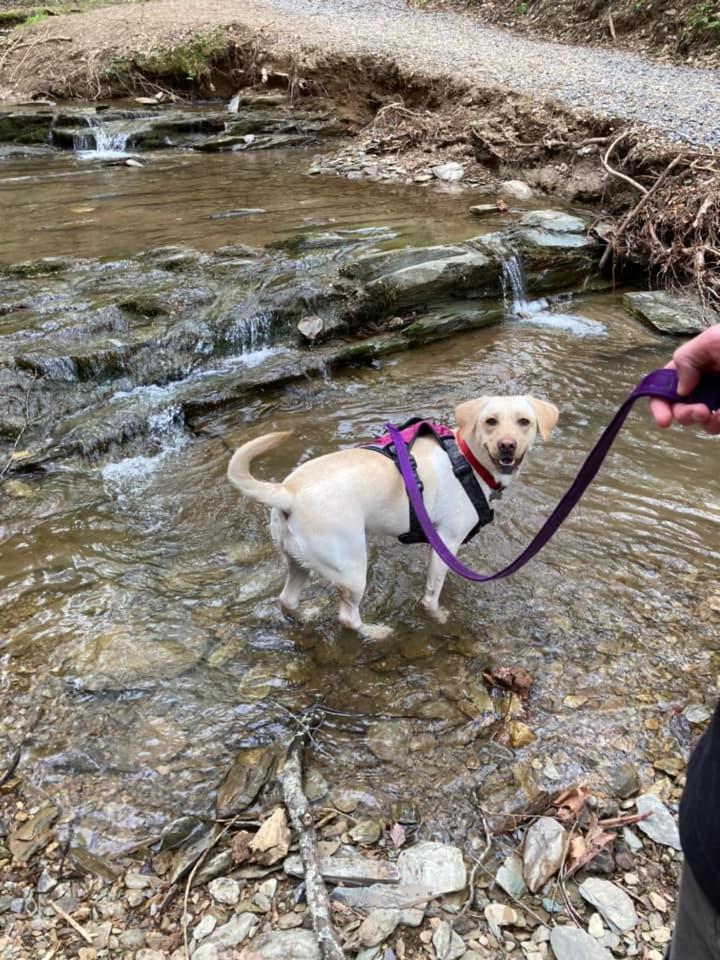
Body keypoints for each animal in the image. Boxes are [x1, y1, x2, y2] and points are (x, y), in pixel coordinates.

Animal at [225, 394, 556, 632]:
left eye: (524, 421)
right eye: (490, 421)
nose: (507, 445)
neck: (467, 459)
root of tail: (288, 492)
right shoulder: (447, 542)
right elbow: (432, 593)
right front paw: (436, 615)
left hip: (298, 561)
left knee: (288, 598)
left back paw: (305, 616)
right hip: (351, 568)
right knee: (348, 617)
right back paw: (375, 632)